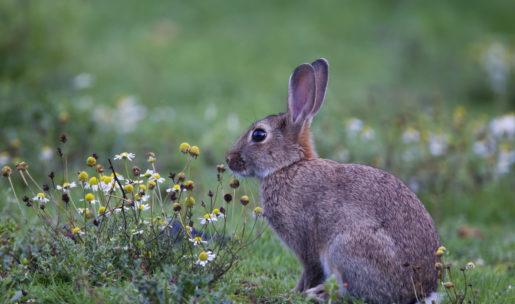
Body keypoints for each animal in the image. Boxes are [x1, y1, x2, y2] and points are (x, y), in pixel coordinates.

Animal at [228, 58, 442, 304]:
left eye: (259, 135)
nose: (229, 159)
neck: (289, 166)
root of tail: (420, 291)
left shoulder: (306, 243)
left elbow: (310, 271)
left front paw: (292, 293)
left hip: (344, 249)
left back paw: (317, 294)